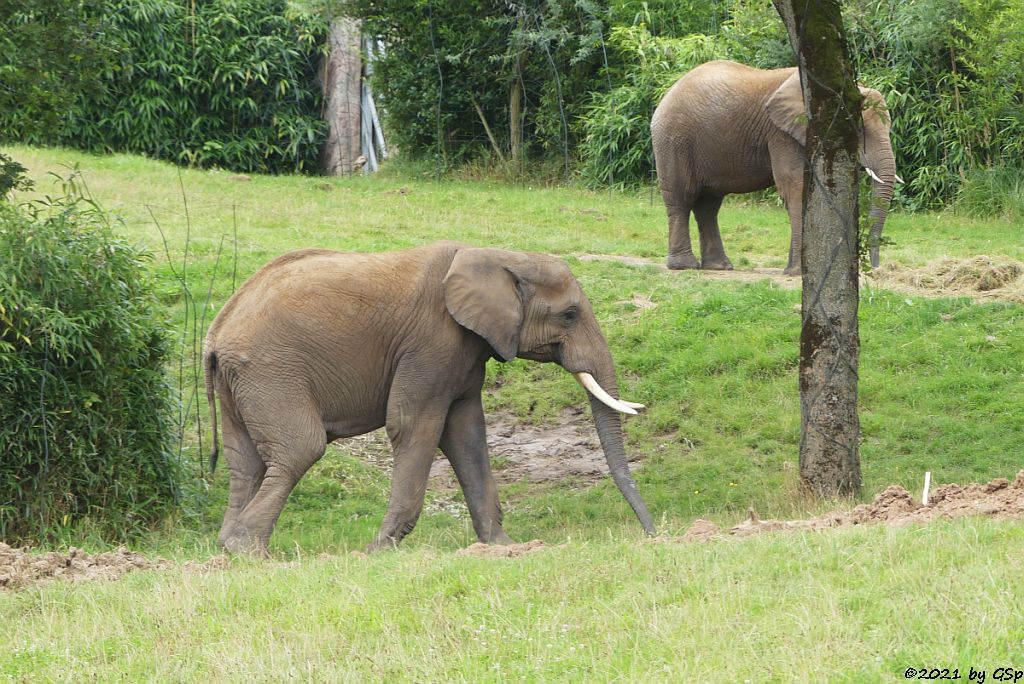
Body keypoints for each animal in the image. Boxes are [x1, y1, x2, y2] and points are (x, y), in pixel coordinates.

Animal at [202, 240, 651, 557]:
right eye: (570, 315)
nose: (652, 532)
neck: (495, 254)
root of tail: (217, 330)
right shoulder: (432, 343)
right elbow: (413, 425)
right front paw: (378, 550)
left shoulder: (467, 350)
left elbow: (466, 435)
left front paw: (503, 546)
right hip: (271, 372)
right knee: (300, 449)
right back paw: (249, 551)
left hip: (243, 383)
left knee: (246, 462)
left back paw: (227, 549)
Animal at [655, 58, 897, 272]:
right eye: (859, 129)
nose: (875, 267)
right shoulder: (781, 134)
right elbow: (795, 187)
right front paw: (799, 272)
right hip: (674, 140)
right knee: (682, 198)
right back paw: (684, 266)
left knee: (708, 205)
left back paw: (719, 266)